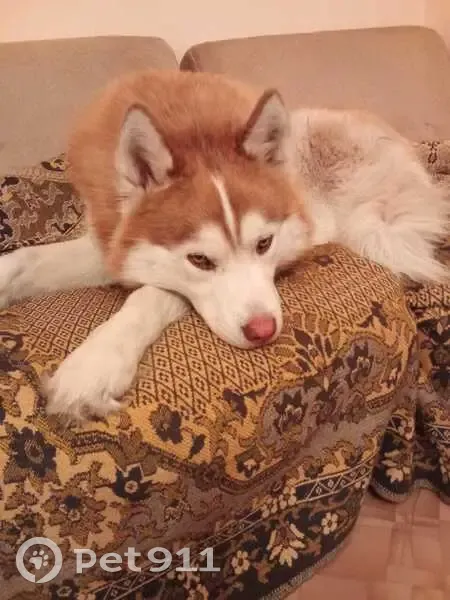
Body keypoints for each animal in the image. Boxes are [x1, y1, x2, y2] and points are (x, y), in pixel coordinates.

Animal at [0, 69, 448, 423]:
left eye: (265, 243)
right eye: (199, 259)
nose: (263, 332)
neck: (196, 129)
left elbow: (151, 294)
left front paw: (94, 366)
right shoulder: (110, 244)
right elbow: (24, 261)